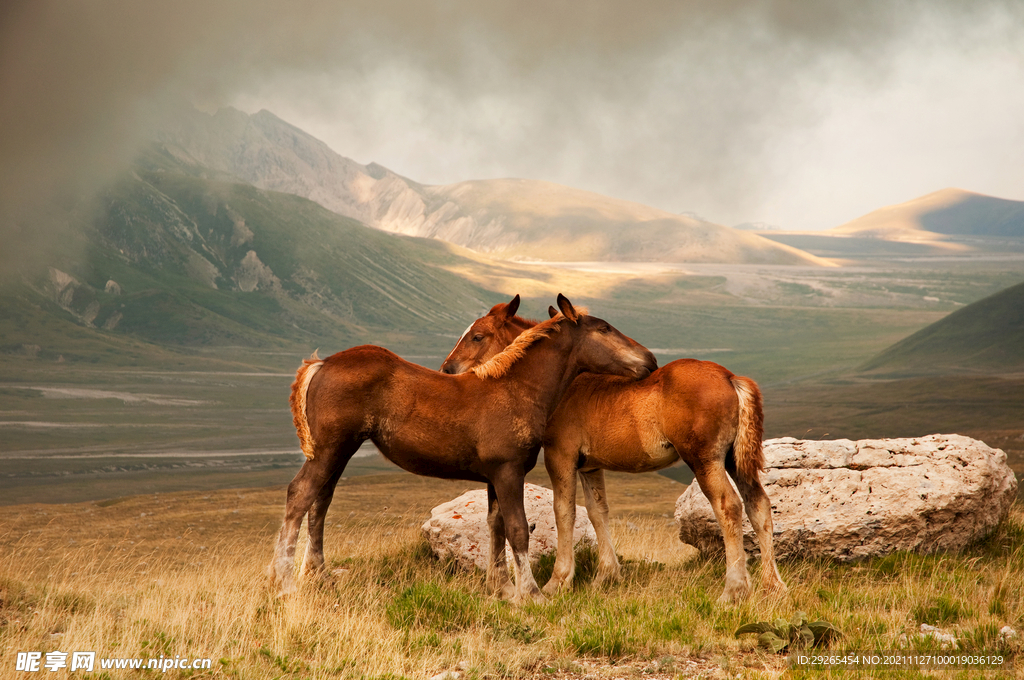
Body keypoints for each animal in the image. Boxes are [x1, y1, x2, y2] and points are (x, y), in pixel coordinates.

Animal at [270, 294, 655, 602]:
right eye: (604, 329)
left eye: (478, 335)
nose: (650, 359)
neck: (516, 388)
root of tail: (322, 363)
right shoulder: (508, 471)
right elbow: (517, 530)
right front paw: (530, 594)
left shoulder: (494, 476)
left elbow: (496, 525)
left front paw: (502, 589)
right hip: (329, 450)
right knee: (300, 495)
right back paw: (284, 583)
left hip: (340, 452)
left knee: (320, 502)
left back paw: (319, 576)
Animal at [438, 294, 782, 602]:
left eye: (477, 336)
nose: (446, 369)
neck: (566, 385)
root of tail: (730, 377)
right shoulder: (590, 465)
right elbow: (597, 512)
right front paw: (606, 576)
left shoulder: (560, 456)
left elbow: (564, 512)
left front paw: (558, 581)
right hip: (734, 460)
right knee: (759, 505)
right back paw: (772, 586)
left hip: (704, 460)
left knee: (729, 507)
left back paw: (734, 590)